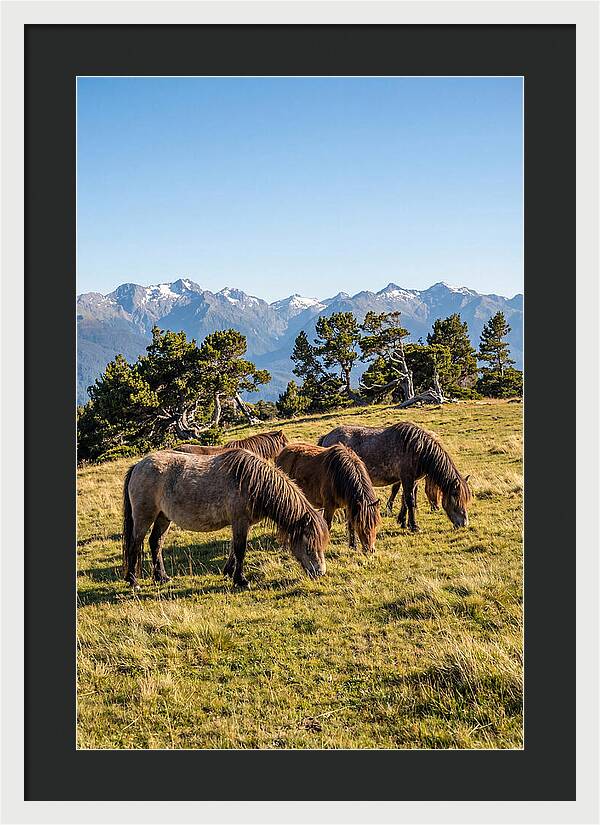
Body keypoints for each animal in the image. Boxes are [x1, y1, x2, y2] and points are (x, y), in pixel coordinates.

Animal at [122, 448, 329, 589]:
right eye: (309, 545)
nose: (320, 572)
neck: (252, 482)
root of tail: (138, 465)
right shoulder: (240, 521)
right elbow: (240, 550)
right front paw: (241, 580)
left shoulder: (242, 523)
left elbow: (233, 549)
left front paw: (229, 572)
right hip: (144, 516)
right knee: (135, 543)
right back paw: (133, 581)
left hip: (163, 517)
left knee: (155, 543)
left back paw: (161, 577)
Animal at [318, 421, 470, 531]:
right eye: (456, 497)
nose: (464, 523)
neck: (418, 448)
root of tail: (326, 437)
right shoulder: (407, 478)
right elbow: (410, 500)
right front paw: (414, 526)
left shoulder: (412, 480)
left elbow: (406, 499)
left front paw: (403, 522)